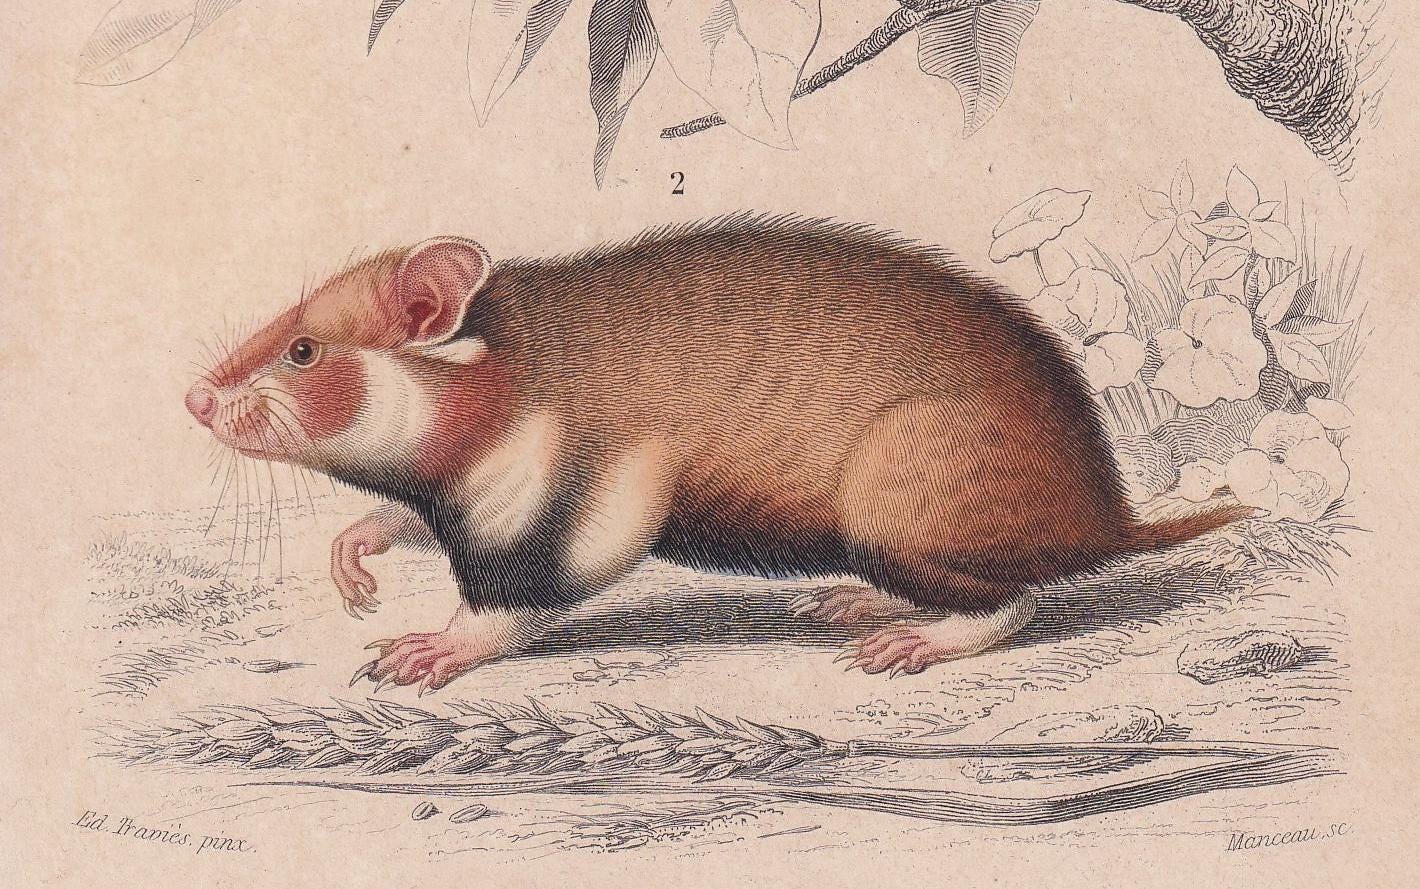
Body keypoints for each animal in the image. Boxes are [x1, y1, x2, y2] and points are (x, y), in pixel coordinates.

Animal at [185, 215, 1245, 692]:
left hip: (895, 498)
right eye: (285, 325)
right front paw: (355, 554)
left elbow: (510, 604)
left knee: (1016, 602)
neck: (498, 382)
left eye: (303, 350)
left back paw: (915, 636)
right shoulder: (445, 499)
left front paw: (433, 645)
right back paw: (858, 600)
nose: (194, 398)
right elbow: (395, 518)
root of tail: (1109, 518)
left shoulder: (571, 511)